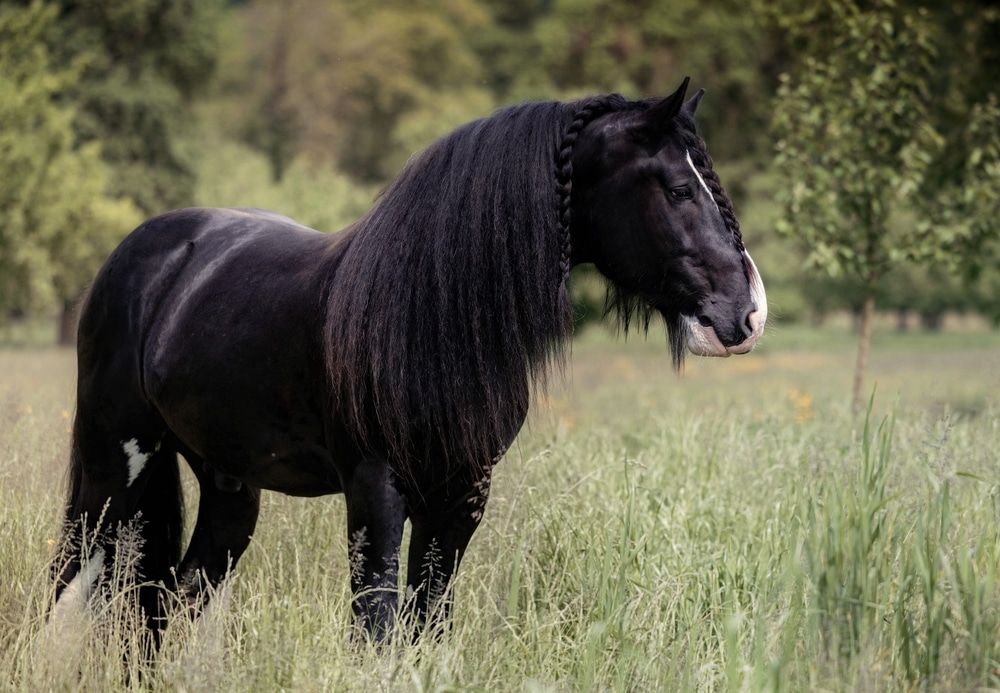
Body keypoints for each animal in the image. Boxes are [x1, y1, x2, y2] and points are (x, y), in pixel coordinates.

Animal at [54, 81, 764, 644]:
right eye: (679, 188)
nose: (747, 314)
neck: (425, 313)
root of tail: (146, 251)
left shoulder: (461, 497)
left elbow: (427, 627)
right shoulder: (376, 490)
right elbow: (376, 629)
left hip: (228, 488)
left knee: (167, 604)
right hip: (111, 469)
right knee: (68, 586)